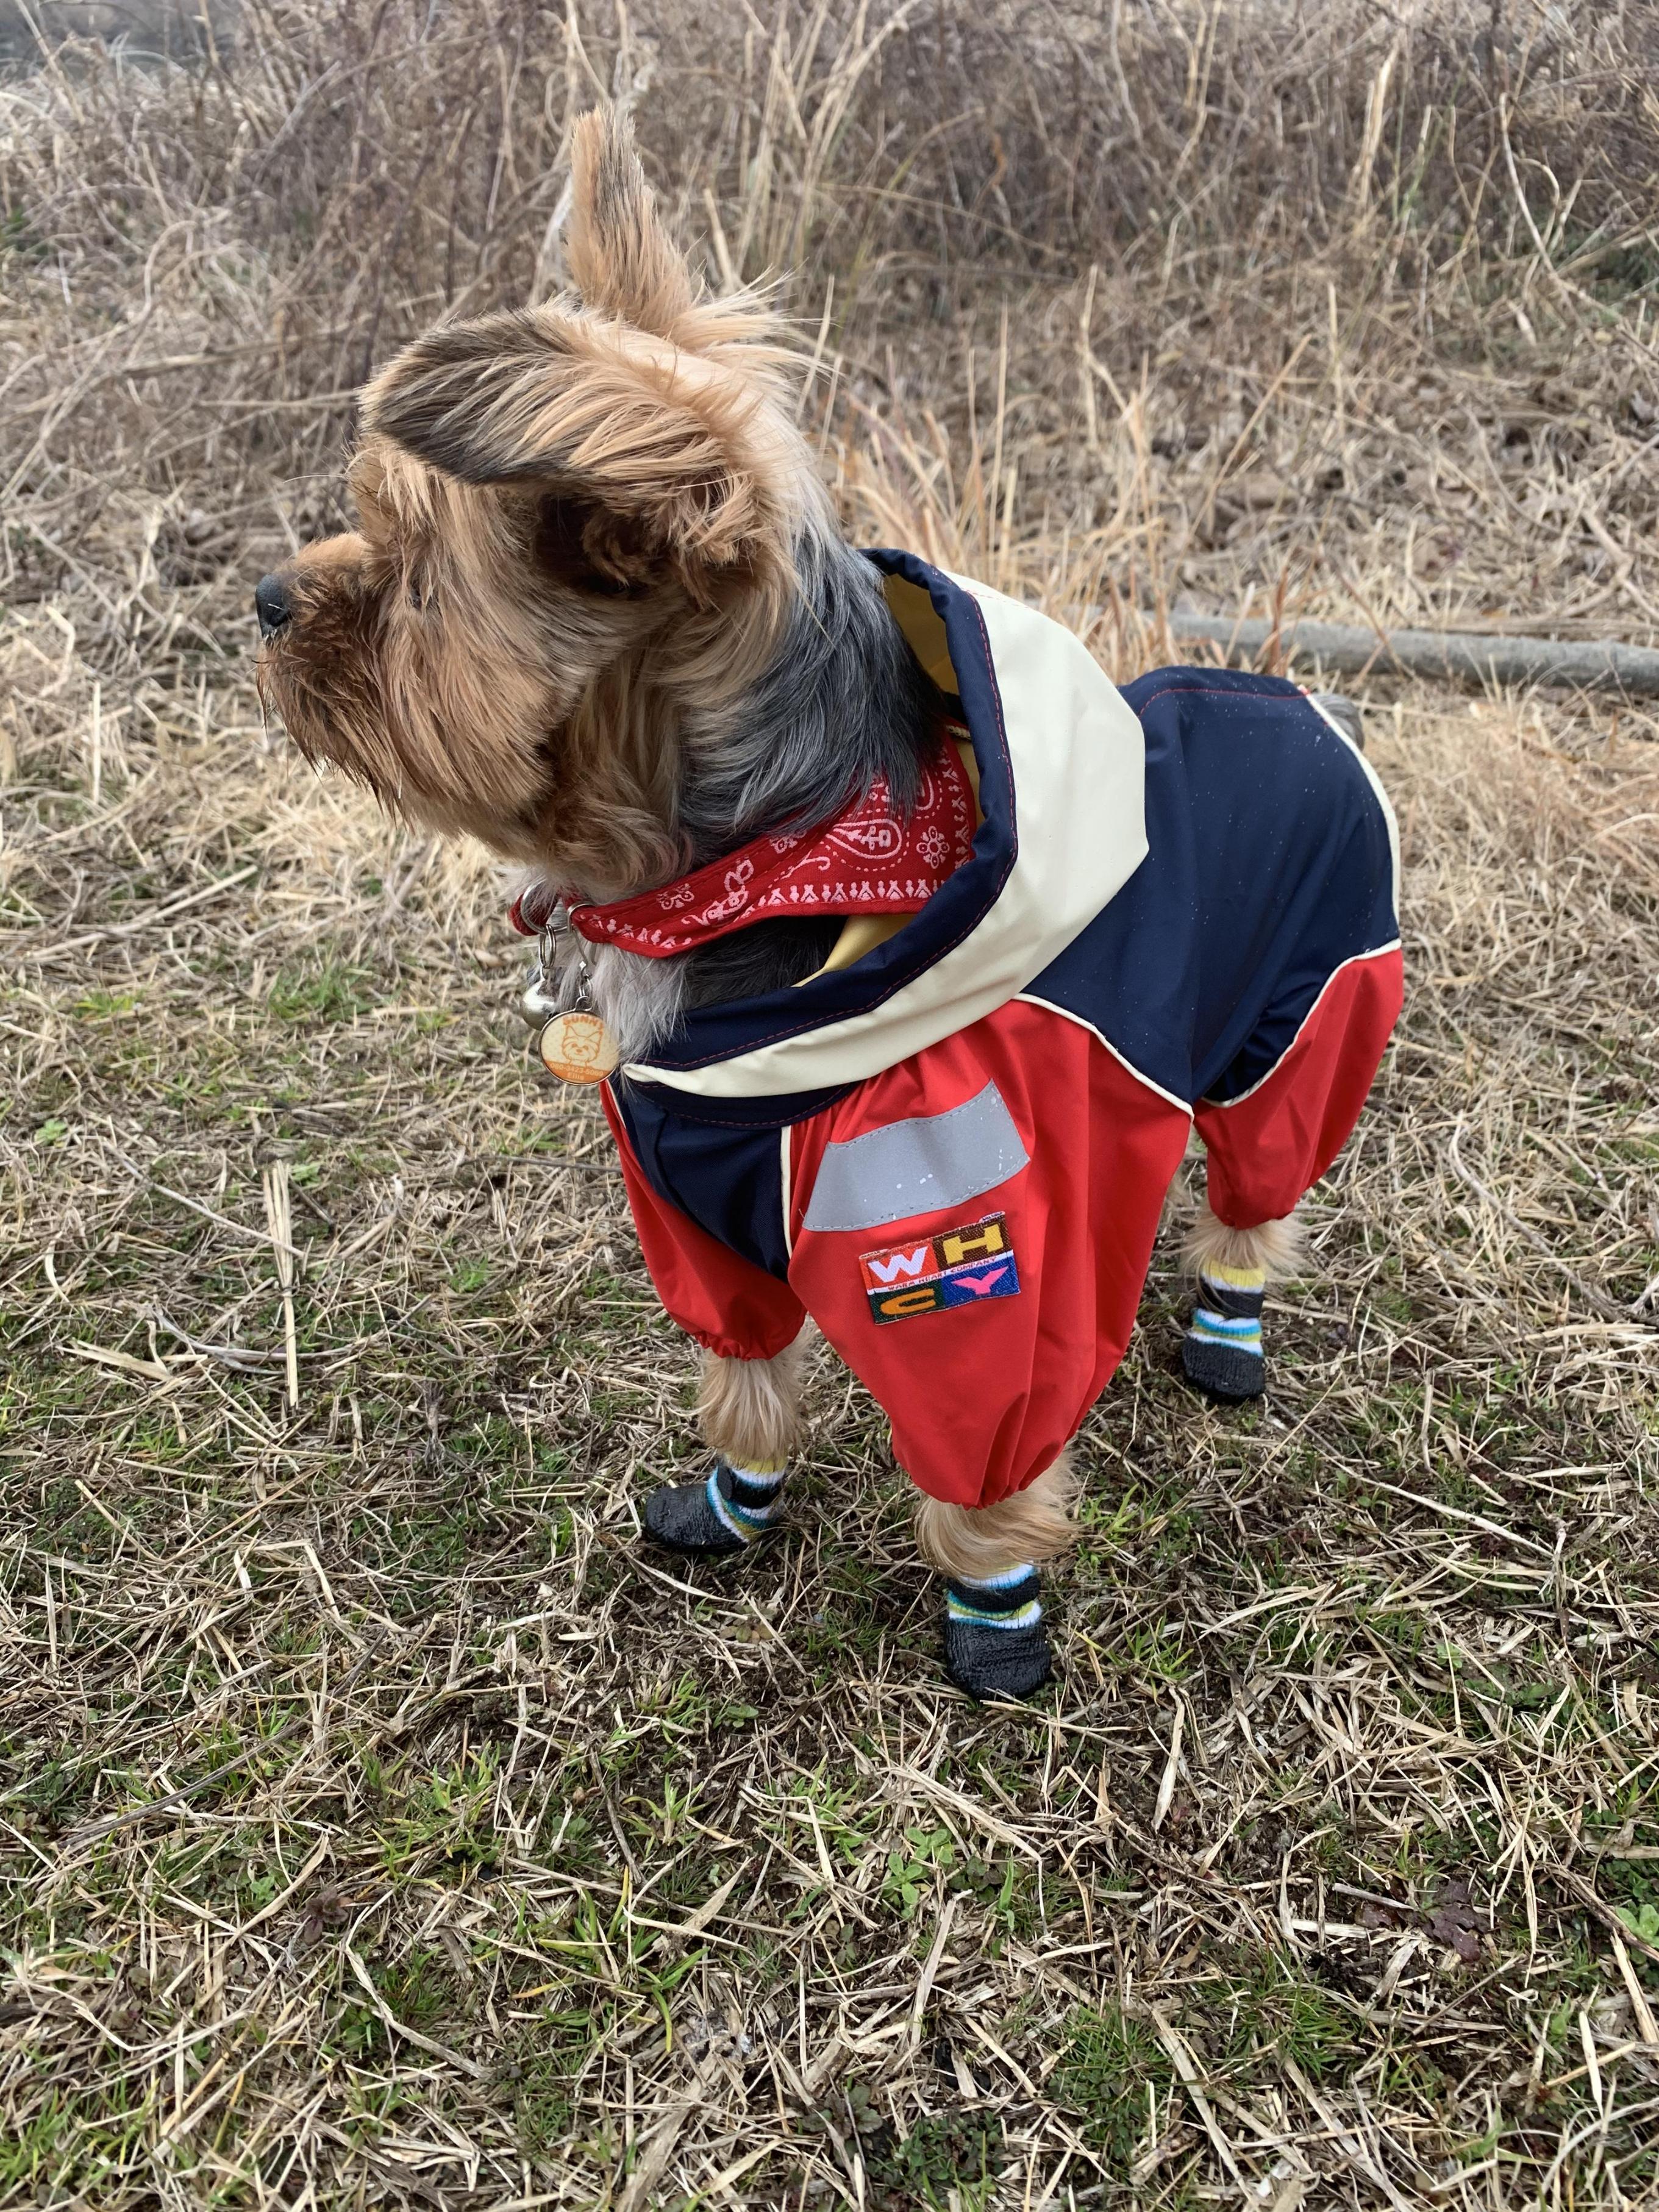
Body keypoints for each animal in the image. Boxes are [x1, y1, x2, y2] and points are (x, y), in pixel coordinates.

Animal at [260, 107, 1407, 1689]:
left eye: (412, 583)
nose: (263, 600)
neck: (752, 893)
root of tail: (1296, 694)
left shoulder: (947, 1244)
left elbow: (981, 1462)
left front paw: (994, 1621)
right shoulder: (690, 1208)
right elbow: (741, 1375)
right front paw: (734, 1506)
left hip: (1306, 1021)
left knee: (1259, 1190)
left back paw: (1229, 1329)